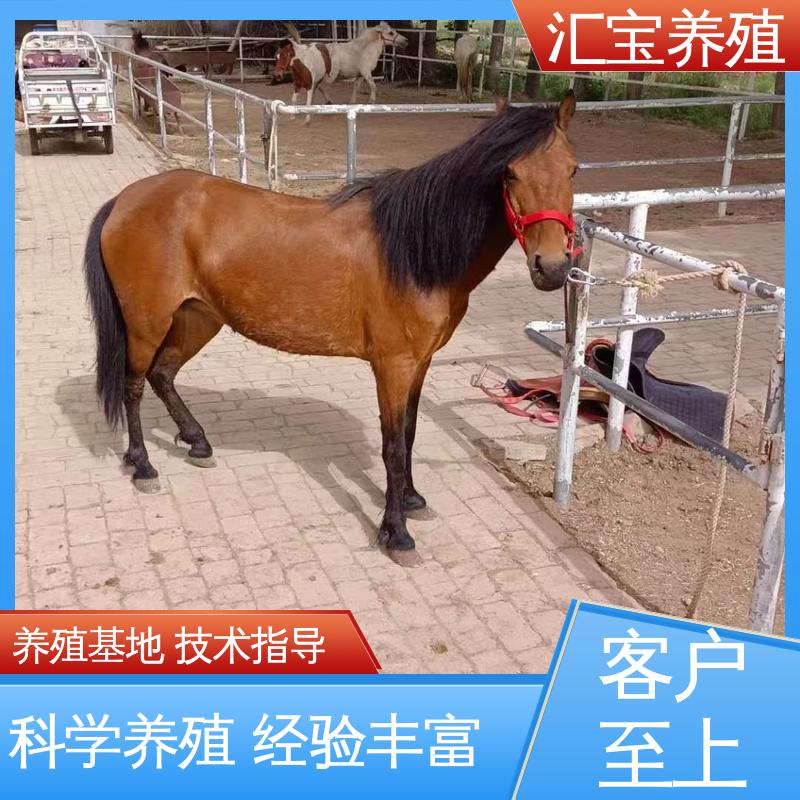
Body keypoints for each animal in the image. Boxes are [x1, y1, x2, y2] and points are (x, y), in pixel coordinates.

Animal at [83, 93, 579, 554]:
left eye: (573, 170)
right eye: (509, 173)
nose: (552, 268)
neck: (413, 250)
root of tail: (124, 200)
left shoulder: (419, 364)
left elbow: (410, 432)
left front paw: (411, 499)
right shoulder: (393, 366)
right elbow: (392, 444)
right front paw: (395, 531)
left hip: (197, 317)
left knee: (163, 374)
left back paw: (197, 442)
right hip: (147, 322)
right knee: (134, 384)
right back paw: (142, 465)